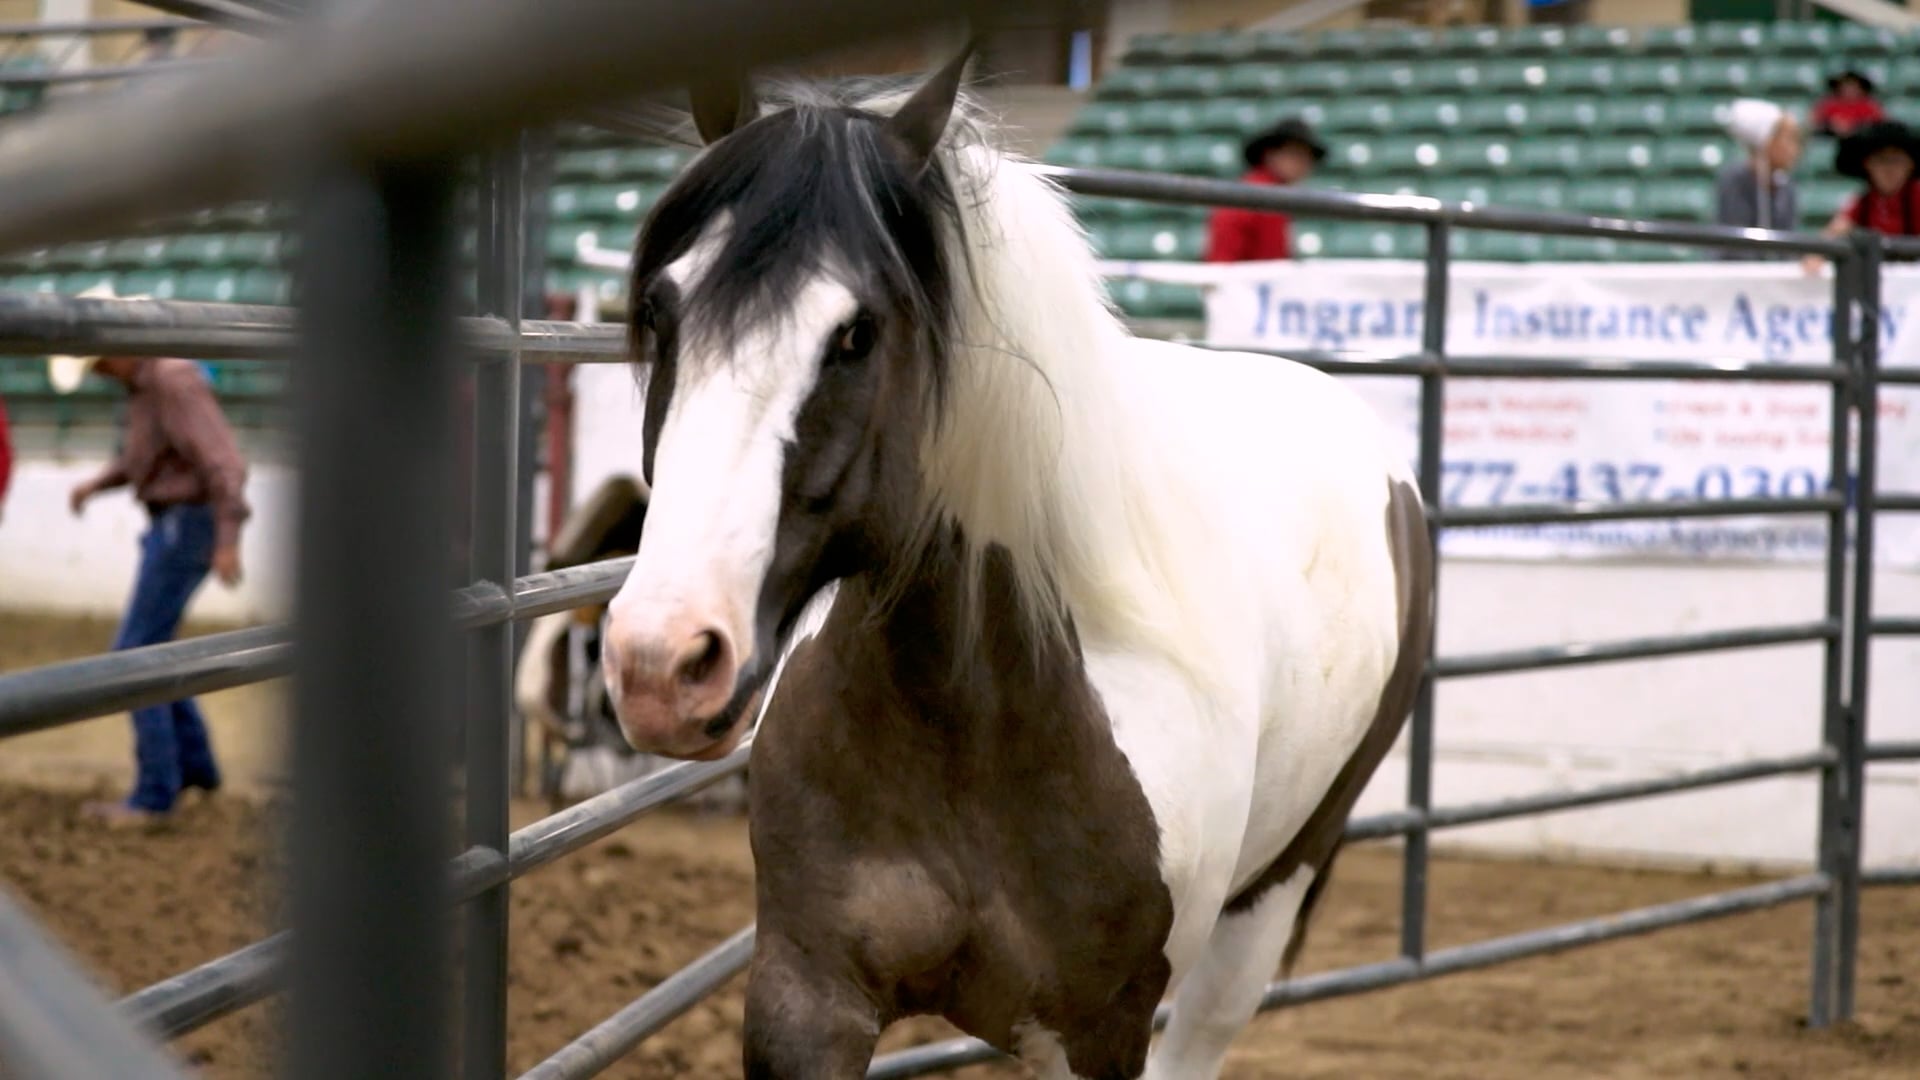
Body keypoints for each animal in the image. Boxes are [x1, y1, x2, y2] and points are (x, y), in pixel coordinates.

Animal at [598, 45, 1434, 1080]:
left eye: (854, 331)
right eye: (659, 308)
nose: (662, 659)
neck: (971, 715)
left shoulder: (1098, 1029)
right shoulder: (806, 1000)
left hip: (1274, 890)